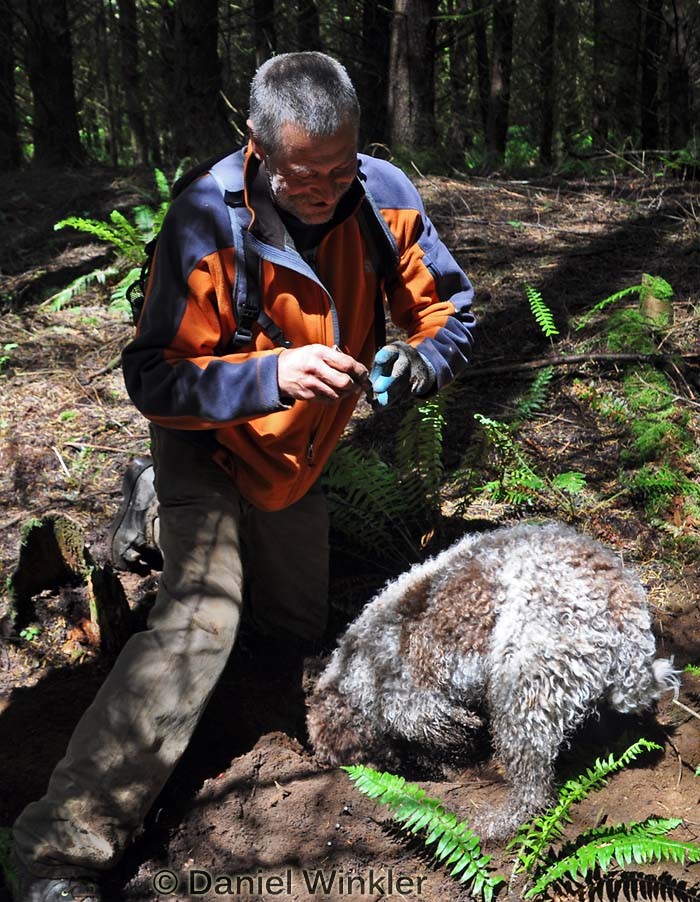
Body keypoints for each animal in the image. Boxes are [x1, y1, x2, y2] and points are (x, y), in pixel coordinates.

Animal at [308, 524, 680, 840]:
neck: (353, 673)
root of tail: (619, 597)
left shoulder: (414, 705)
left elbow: (445, 733)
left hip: (525, 687)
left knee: (533, 790)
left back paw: (498, 823)